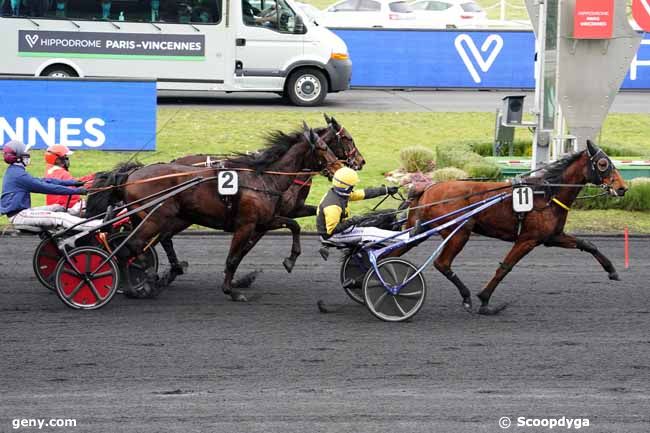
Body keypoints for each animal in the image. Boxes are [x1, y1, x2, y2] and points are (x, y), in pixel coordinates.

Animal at [90, 125, 340, 300]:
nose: (340, 166)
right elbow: (232, 258)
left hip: (156, 218)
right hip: (155, 218)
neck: (263, 178)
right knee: (132, 247)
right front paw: (231, 290)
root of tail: (131, 174)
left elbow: (293, 225)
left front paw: (291, 259)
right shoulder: (246, 225)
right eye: (324, 148)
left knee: (140, 245)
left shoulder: (264, 221)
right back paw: (138, 282)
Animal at [404, 142, 624, 314]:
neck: (547, 194)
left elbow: (587, 244)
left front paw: (612, 271)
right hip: (460, 232)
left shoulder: (552, 237)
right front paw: (485, 300)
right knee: (442, 263)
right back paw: (465, 296)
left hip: (423, 231)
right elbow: (505, 268)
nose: (622, 188)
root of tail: (428, 188)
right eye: (603, 164)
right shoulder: (528, 239)